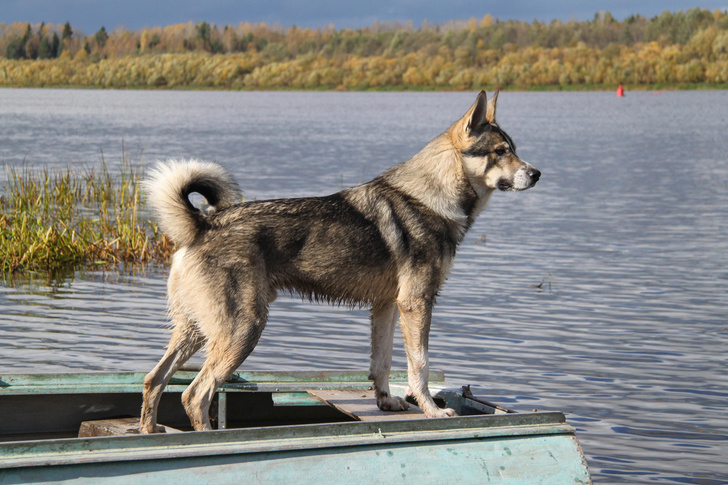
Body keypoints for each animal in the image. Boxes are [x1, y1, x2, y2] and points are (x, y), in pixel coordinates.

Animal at [141, 91, 540, 432]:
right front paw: (432, 410)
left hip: (196, 330)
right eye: (501, 151)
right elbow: (420, 366)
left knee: (154, 379)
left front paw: (386, 402)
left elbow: (382, 363)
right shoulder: (417, 304)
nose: (536, 174)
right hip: (243, 329)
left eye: (514, 150)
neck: (433, 195)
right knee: (195, 394)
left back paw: (150, 431)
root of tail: (202, 224)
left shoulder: (387, 306)